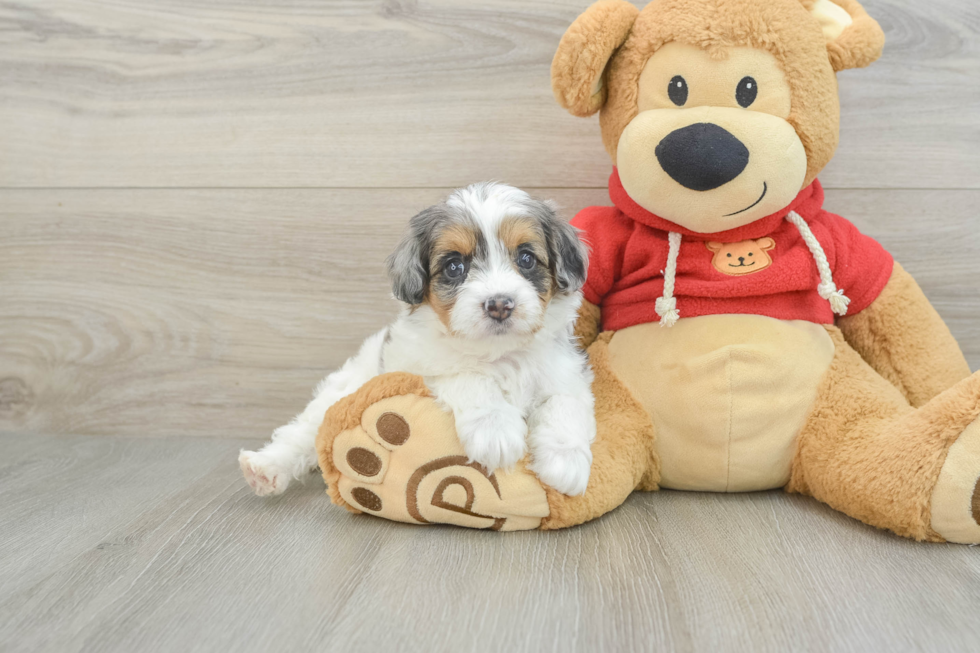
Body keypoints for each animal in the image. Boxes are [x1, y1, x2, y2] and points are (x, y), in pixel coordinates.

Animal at [241, 185, 600, 500]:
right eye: (455, 266)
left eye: (526, 258)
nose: (500, 304)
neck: (499, 353)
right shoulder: (422, 368)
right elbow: (468, 377)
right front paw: (494, 427)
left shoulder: (567, 372)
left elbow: (565, 403)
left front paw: (565, 460)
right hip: (344, 388)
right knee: (303, 432)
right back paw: (265, 468)